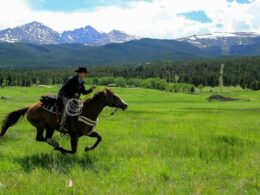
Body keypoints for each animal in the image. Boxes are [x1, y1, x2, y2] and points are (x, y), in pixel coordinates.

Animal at [0, 88, 128, 154]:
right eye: (115, 97)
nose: (125, 105)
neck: (86, 112)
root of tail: (29, 107)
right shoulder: (74, 135)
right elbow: (73, 150)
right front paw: (61, 150)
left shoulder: (88, 132)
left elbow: (99, 138)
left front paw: (88, 148)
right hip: (40, 125)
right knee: (40, 138)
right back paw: (55, 144)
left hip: (50, 127)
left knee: (45, 137)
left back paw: (54, 143)